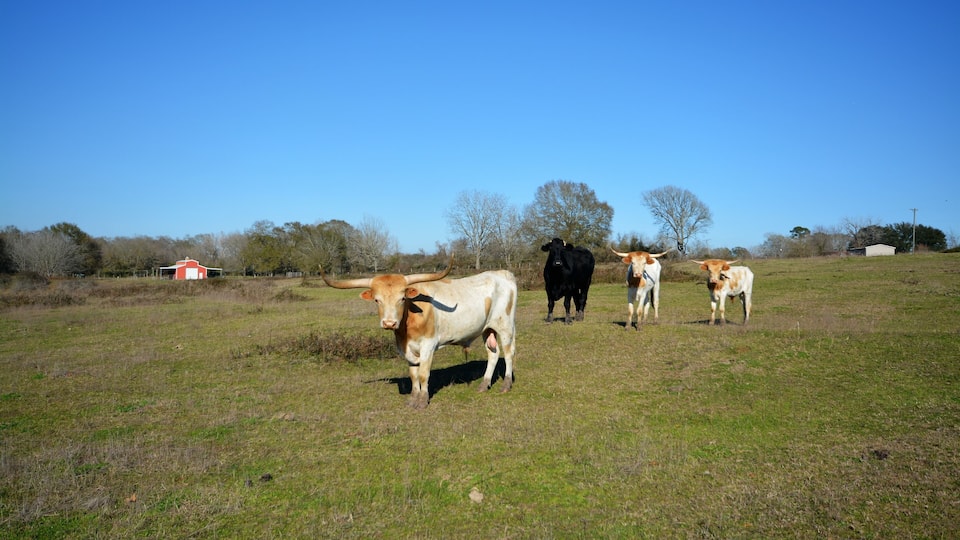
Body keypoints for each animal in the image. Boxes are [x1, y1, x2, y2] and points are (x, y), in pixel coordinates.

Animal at [320, 262, 517, 409]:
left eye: (402, 298)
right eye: (377, 300)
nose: (389, 323)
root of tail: (502, 273)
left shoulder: (428, 345)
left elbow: (423, 374)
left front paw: (422, 401)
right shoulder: (405, 349)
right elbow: (413, 374)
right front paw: (413, 399)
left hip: (505, 325)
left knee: (508, 353)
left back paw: (506, 385)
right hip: (487, 329)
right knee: (493, 354)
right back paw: (484, 385)